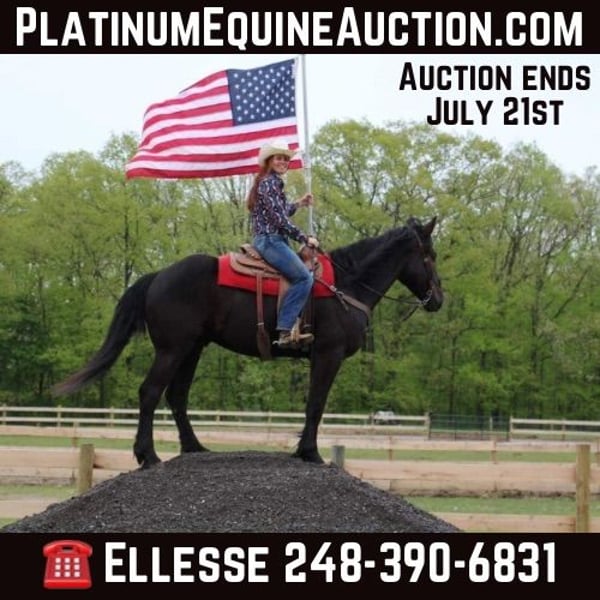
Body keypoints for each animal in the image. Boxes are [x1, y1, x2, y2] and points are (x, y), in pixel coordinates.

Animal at [52, 216, 444, 468]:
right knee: (150, 393)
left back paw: (194, 447)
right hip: (172, 349)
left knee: (176, 396)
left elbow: (312, 404)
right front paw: (310, 452)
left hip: (192, 349)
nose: (438, 299)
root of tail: (159, 275)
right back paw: (147, 456)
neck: (345, 285)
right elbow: (315, 405)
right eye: (430, 256)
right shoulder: (327, 354)